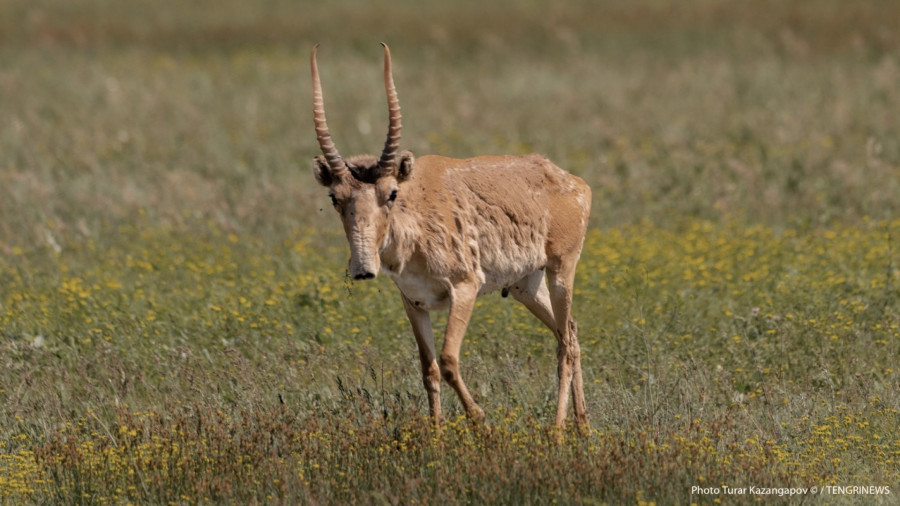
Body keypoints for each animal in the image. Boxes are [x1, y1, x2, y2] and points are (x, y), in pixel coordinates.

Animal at [310, 44, 592, 430]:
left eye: (391, 193)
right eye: (334, 197)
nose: (363, 269)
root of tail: (573, 181)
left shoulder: (465, 287)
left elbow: (447, 360)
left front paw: (481, 421)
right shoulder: (414, 302)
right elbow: (428, 369)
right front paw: (437, 433)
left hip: (562, 269)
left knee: (565, 343)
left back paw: (558, 431)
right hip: (526, 286)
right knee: (572, 333)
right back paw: (583, 426)